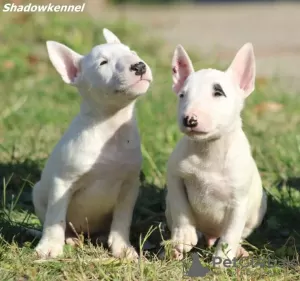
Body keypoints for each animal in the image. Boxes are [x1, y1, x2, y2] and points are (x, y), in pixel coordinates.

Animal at [32, 27, 152, 258]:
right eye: (103, 63)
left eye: (131, 52)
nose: (139, 65)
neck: (110, 125)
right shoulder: (62, 182)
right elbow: (55, 217)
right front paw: (49, 248)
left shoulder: (130, 185)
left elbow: (122, 219)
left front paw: (122, 248)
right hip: (39, 191)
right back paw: (70, 238)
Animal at [166, 42, 268, 264]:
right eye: (182, 95)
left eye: (218, 93)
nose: (189, 119)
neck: (208, 151)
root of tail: (210, 234)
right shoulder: (175, 176)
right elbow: (180, 207)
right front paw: (184, 236)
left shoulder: (239, 201)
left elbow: (231, 233)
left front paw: (221, 261)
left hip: (258, 208)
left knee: (237, 234)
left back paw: (238, 250)